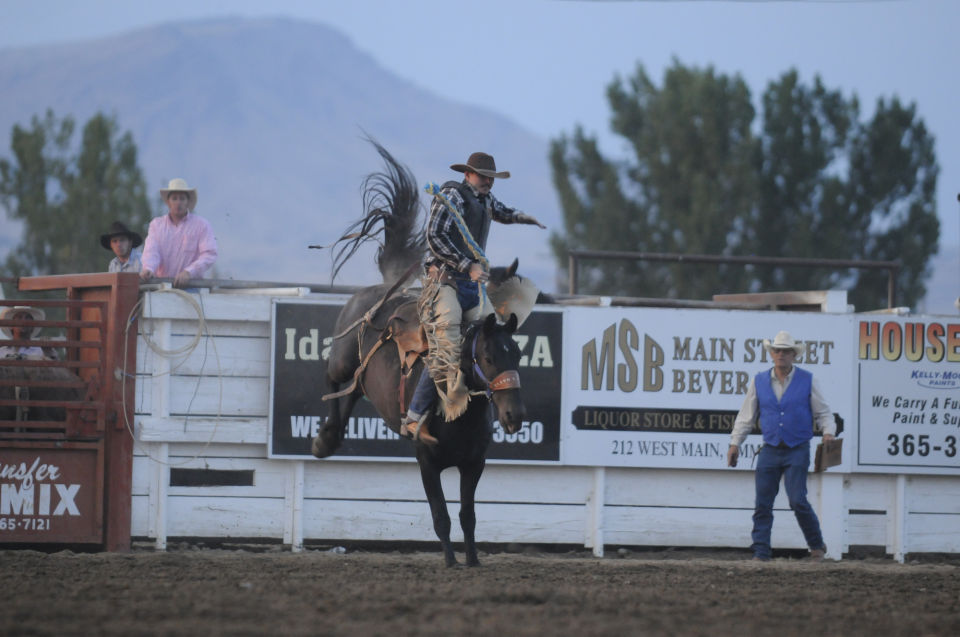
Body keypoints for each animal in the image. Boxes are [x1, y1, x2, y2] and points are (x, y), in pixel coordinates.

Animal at [312, 140, 524, 568]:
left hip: (365, 381)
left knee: (350, 397)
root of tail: (382, 288)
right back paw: (323, 441)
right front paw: (451, 561)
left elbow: (468, 515)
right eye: (489, 358)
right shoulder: (426, 461)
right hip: (342, 356)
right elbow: (442, 515)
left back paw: (330, 438)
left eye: (518, 356)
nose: (514, 416)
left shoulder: (474, 463)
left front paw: (473, 560)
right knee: (334, 382)